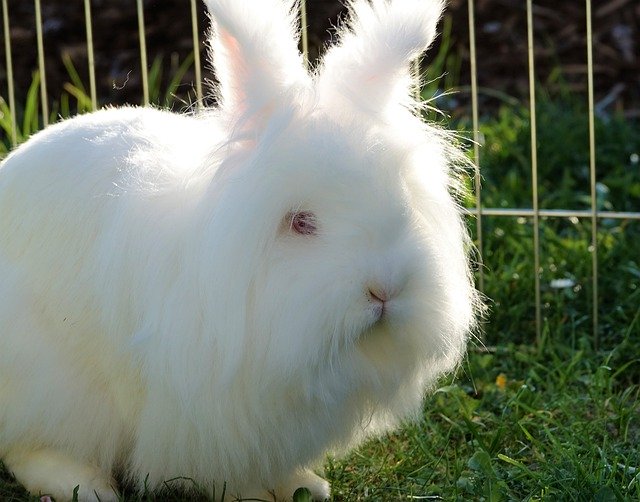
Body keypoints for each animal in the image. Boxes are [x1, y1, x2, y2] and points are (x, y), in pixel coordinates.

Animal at [0, 0, 478, 500]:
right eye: (300, 222)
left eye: (401, 204)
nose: (385, 290)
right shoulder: (208, 417)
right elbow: (229, 474)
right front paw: (255, 496)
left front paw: (305, 486)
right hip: (50, 385)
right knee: (28, 447)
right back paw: (85, 486)